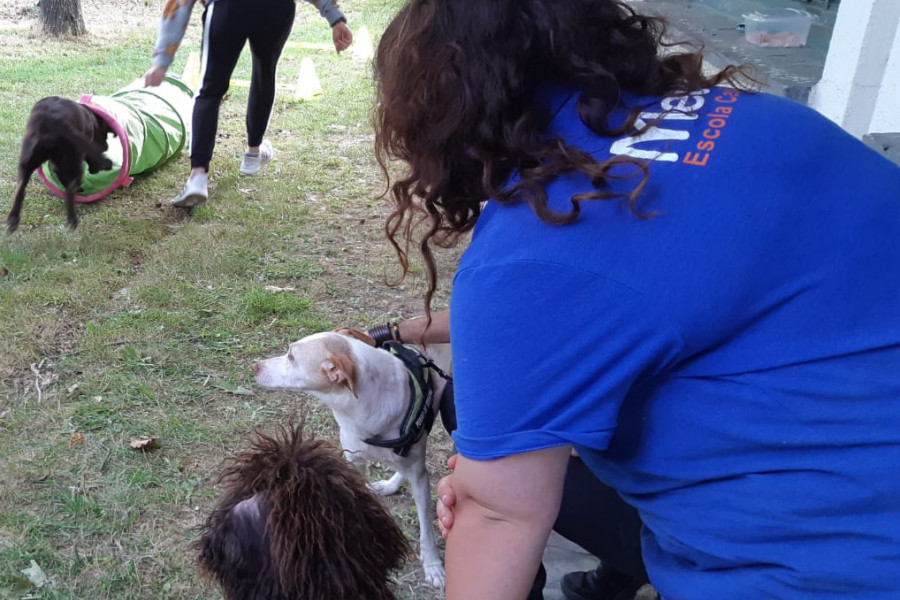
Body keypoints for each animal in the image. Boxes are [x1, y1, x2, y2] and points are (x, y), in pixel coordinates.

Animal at [7, 95, 114, 232]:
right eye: (105, 135)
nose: (106, 146)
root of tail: (51, 120)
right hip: (74, 161)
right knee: (71, 188)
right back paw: (72, 220)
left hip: (27, 161)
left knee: (20, 189)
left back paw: (12, 221)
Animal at [251, 328, 450, 584]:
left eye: (292, 357)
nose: (255, 366)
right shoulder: (353, 462)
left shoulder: (419, 476)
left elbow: (426, 528)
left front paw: (433, 565)